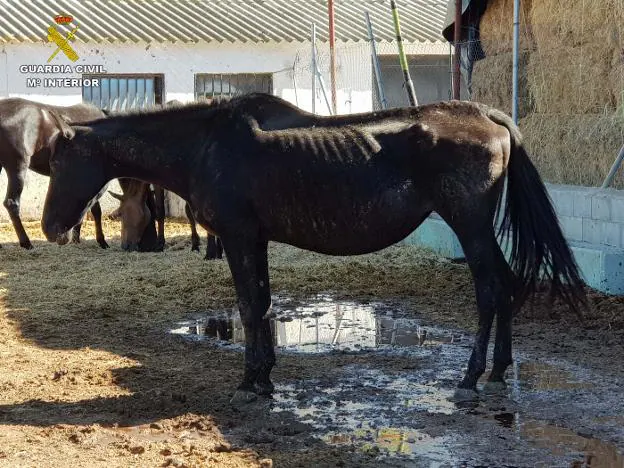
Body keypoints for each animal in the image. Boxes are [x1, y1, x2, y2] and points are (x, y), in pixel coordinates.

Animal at [0, 98, 109, 249]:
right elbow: (96, 210)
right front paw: (101, 240)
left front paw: (76, 238)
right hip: (18, 167)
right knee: (12, 203)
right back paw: (26, 242)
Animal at [41, 93, 588, 404]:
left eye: (62, 160)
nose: (50, 227)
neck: (205, 144)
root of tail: (490, 117)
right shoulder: (255, 239)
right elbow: (261, 303)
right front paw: (264, 378)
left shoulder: (238, 237)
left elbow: (249, 305)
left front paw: (248, 384)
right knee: (507, 286)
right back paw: (497, 373)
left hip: (469, 224)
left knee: (492, 290)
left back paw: (472, 379)